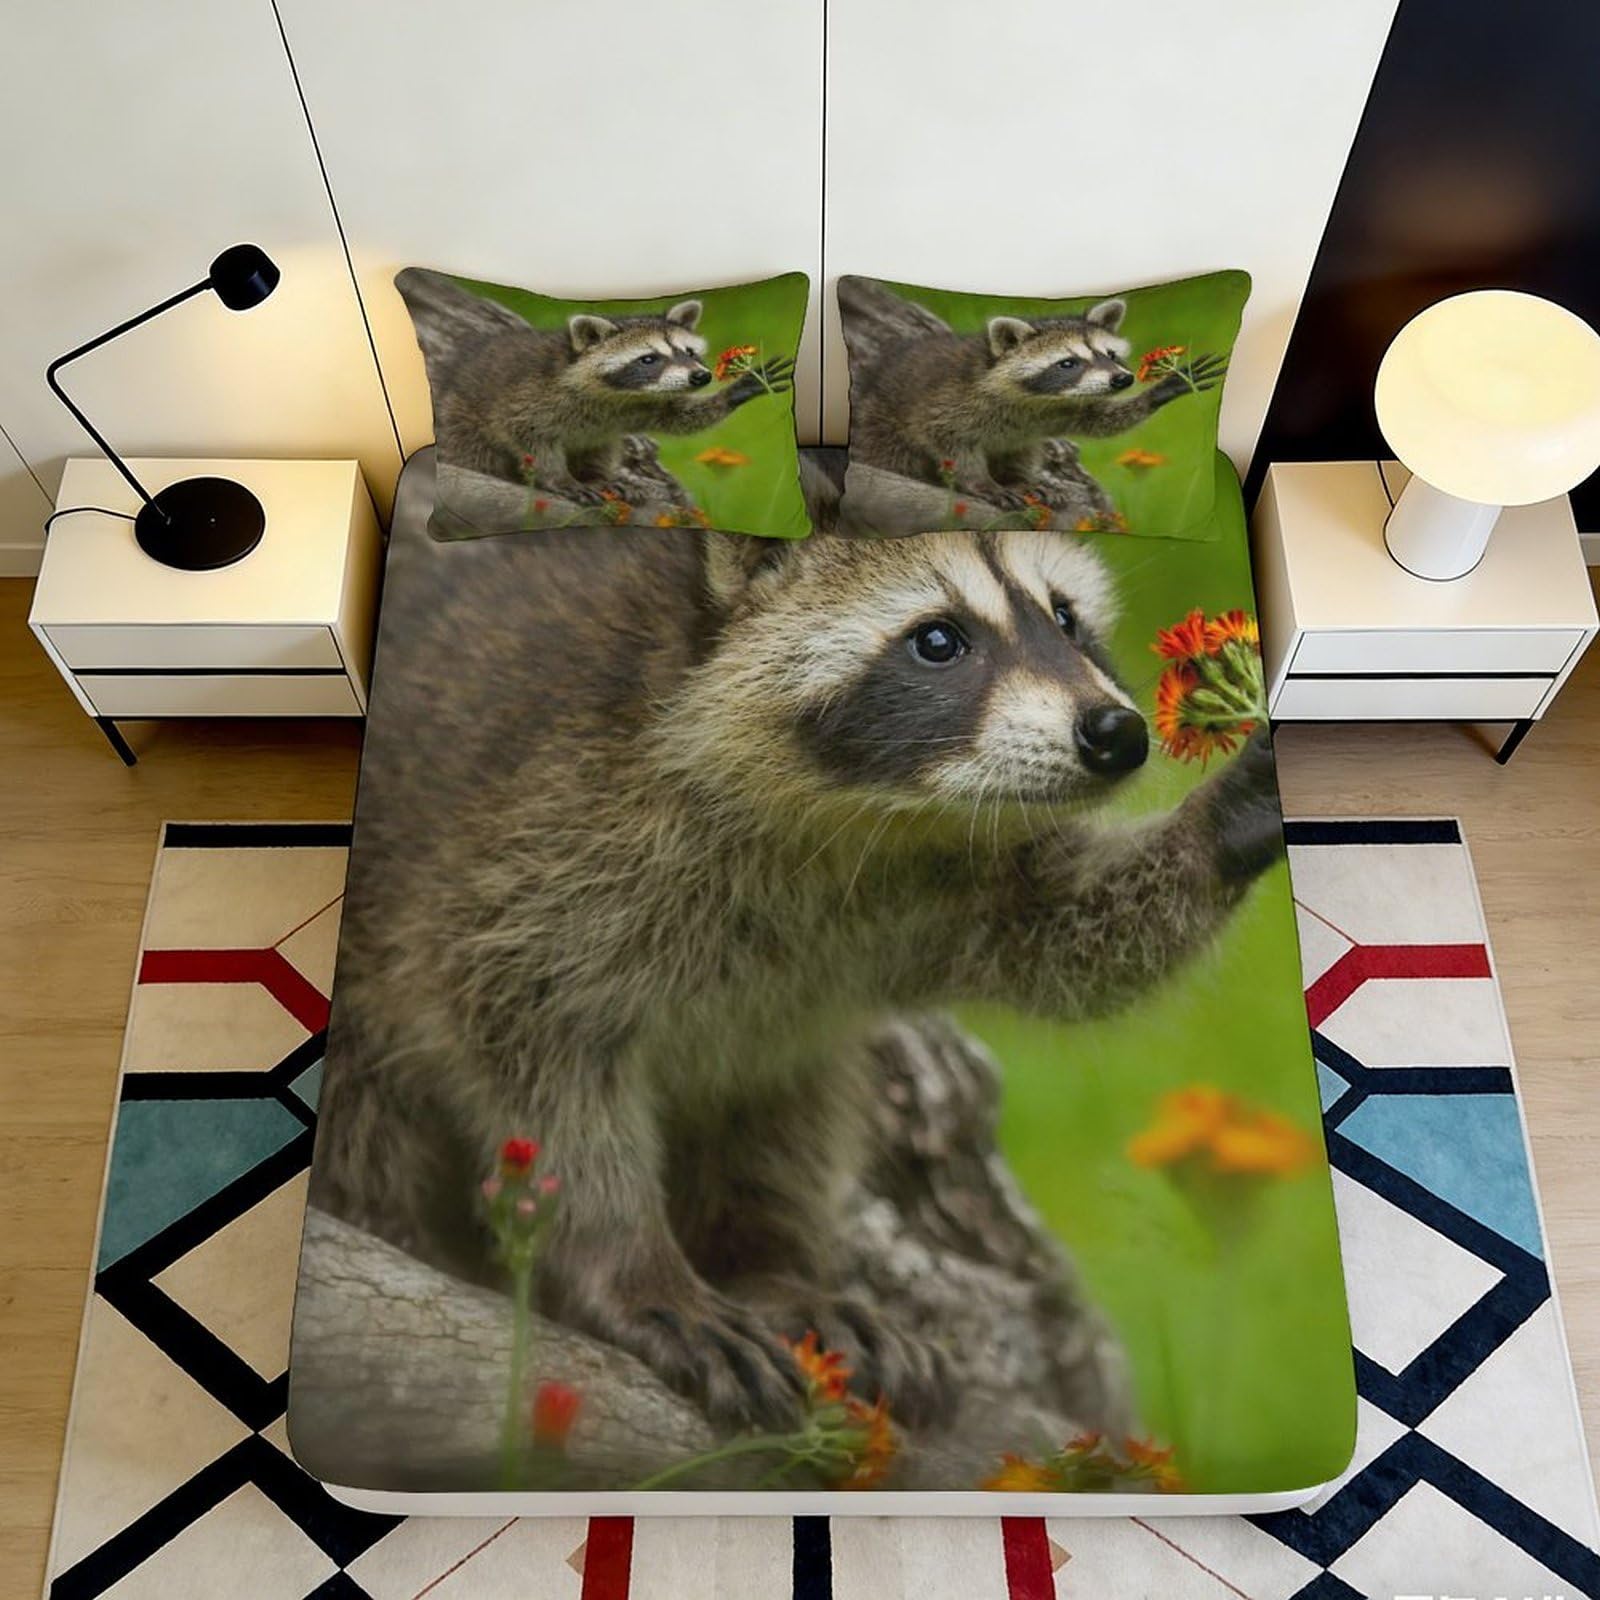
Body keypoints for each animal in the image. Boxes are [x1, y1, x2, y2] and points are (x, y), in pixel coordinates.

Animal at [316, 512, 1283, 1432]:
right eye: (939, 640)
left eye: (1066, 618)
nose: (1115, 733)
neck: (849, 816)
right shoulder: (531, 853)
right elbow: (542, 1074)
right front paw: (629, 1265)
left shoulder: (936, 879)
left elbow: (1071, 939)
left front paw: (1223, 821)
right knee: (369, 1131)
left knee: (786, 1101)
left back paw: (768, 1259)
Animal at [397, 267, 793, 503]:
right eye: (648, 359)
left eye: (688, 351)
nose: (700, 377)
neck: (616, 396)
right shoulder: (529, 398)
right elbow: (529, 437)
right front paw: (559, 478)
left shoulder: (637, 407)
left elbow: (677, 417)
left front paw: (734, 391)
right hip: (462, 423)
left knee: (600, 447)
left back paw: (598, 473)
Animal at [843, 279, 1225, 507]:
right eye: (1068, 363)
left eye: (1110, 355)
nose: (1122, 380)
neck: (1035, 401)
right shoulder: (949, 403)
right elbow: (951, 442)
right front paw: (981, 482)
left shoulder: (1062, 410)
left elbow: (1100, 421)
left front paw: (1161, 390)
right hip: (880, 427)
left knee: (1023, 450)